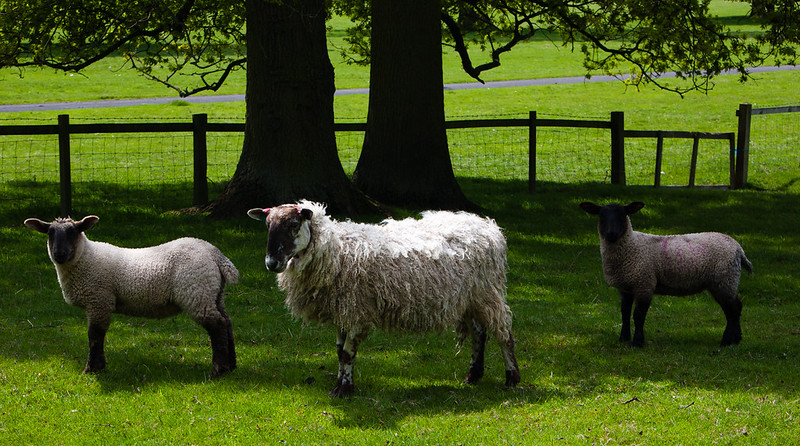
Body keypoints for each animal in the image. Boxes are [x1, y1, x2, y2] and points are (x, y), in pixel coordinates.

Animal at [24, 215, 238, 378]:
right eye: (50, 233)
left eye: (73, 232)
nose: (59, 254)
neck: (85, 259)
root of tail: (216, 255)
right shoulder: (98, 303)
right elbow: (98, 335)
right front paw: (99, 366)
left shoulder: (99, 301)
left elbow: (95, 335)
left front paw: (92, 369)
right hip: (214, 294)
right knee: (227, 322)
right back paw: (231, 366)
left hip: (197, 293)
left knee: (217, 325)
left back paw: (218, 371)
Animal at [247, 200, 520, 397]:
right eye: (267, 225)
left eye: (294, 224)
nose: (271, 263)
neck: (337, 251)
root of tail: (488, 226)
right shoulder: (343, 310)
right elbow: (339, 352)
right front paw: (341, 384)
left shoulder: (358, 310)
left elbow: (348, 353)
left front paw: (344, 390)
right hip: (469, 297)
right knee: (479, 333)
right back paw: (473, 375)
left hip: (488, 291)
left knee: (504, 333)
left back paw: (512, 377)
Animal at [579, 201, 752, 348]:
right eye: (601, 216)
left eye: (623, 215)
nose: (611, 233)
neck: (632, 246)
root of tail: (738, 249)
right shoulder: (625, 288)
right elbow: (625, 313)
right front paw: (623, 338)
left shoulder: (645, 283)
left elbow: (638, 315)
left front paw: (637, 342)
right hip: (724, 281)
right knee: (735, 308)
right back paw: (736, 339)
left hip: (724, 279)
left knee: (733, 309)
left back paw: (726, 341)